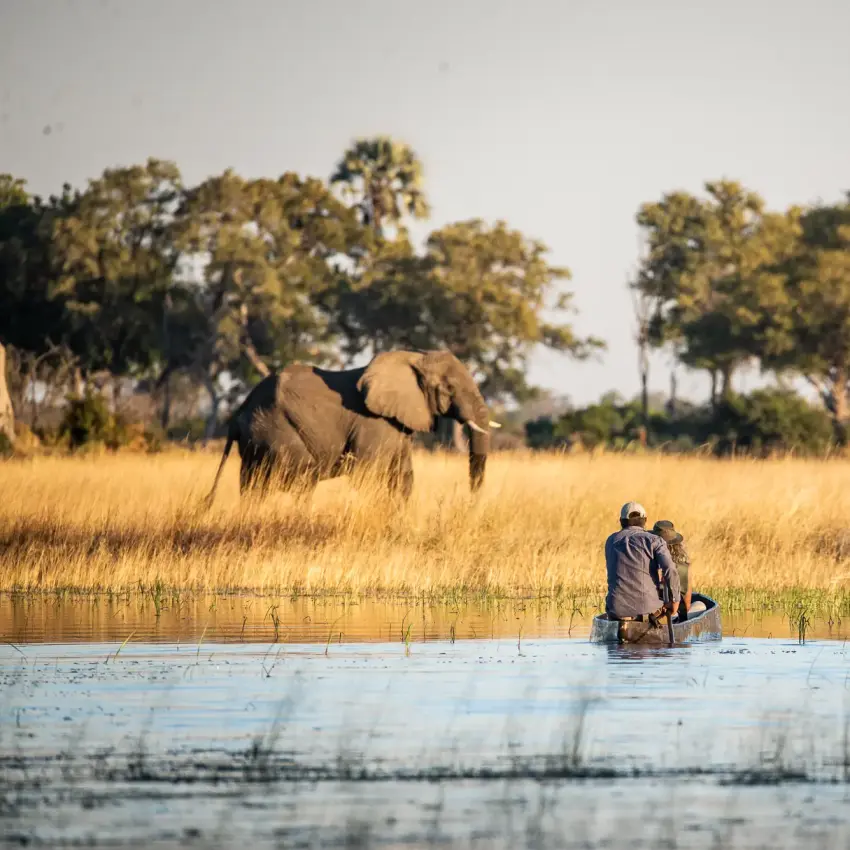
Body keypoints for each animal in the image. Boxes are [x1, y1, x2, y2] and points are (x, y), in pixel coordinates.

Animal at [204, 349, 500, 505]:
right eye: (449, 389)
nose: (471, 503)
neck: (413, 357)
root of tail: (238, 414)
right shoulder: (372, 423)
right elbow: (368, 474)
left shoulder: (398, 423)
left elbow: (403, 476)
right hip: (275, 429)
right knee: (303, 475)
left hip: (257, 439)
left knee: (254, 484)